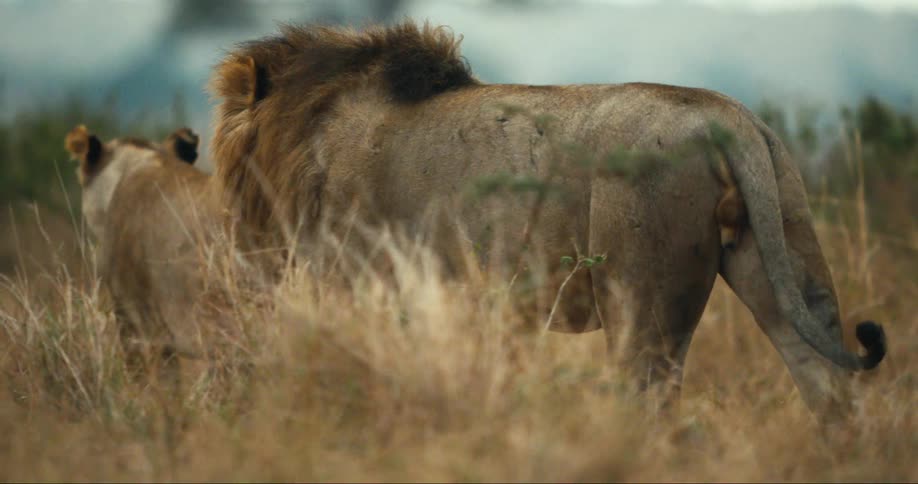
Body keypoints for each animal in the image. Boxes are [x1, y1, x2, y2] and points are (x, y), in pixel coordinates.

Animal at [208, 21, 886, 418]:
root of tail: (728, 116)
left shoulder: (358, 284)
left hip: (640, 294)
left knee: (649, 404)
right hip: (783, 249)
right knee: (826, 382)